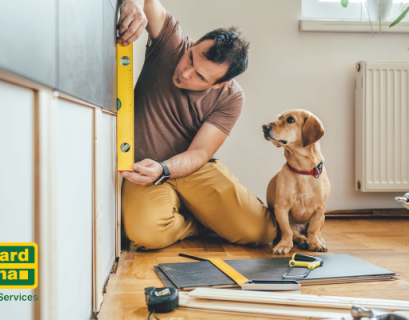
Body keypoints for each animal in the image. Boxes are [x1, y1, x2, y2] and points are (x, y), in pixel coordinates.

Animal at [262, 110, 330, 255]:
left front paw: (315, 243)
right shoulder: (281, 208)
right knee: (295, 233)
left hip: (323, 217)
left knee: (316, 231)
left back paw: (318, 240)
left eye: (290, 120)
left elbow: (313, 229)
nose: (264, 126)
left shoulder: (320, 209)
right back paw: (302, 240)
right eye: (278, 118)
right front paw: (284, 245)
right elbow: (287, 231)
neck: (302, 169)